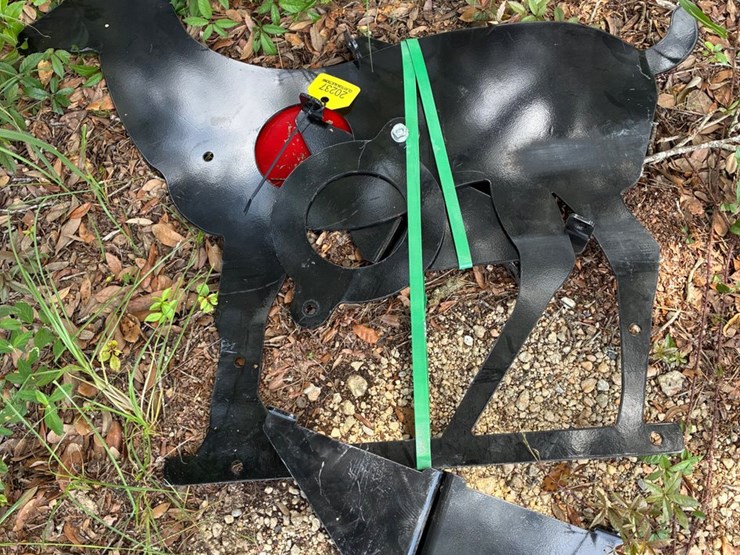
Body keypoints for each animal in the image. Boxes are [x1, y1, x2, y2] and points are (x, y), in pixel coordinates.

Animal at [21, 0, 698, 484]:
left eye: (83, 2)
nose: (26, 39)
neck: (199, 112)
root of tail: (647, 61)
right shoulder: (253, 247)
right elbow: (240, 330)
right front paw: (229, 451)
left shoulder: (250, 240)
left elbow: (236, 328)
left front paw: (218, 455)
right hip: (564, 188)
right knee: (619, 253)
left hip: (543, 178)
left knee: (573, 258)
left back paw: (471, 435)